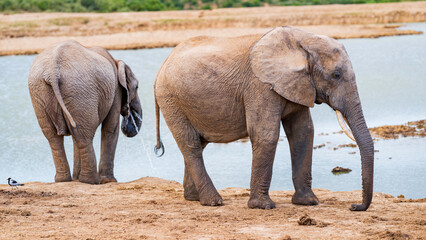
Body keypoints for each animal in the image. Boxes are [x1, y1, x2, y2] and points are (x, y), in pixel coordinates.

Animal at [28, 40, 142, 185]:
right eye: (137, 87)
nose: (128, 126)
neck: (116, 61)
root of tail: (53, 71)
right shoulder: (115, 90)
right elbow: (110, 128)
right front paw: (109, 181)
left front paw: (77, 179)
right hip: (78, 91)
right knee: (83, 136)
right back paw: (91, 181)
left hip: (40, 93)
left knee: (58, 136)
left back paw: (64, 180)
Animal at [155, 26, 374, 210]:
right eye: (336, 75)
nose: (354, 206)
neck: (304, 39)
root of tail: (161, 67)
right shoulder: (259, 86)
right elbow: (266, 134)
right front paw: (263, 206)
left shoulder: (298, 85)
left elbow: (303, 133)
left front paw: (308, 202)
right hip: (170, 99)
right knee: (191, 145)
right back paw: (214, 202)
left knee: (199, 144)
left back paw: (193, 198)